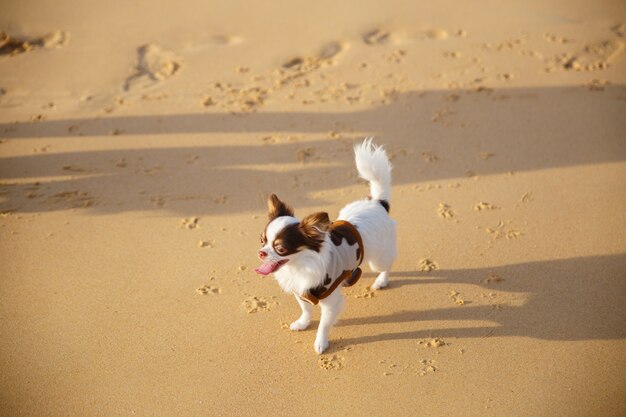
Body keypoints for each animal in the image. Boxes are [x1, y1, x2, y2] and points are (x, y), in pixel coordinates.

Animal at [254, 138, 394, 352]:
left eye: (280, 249)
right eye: (262, 240)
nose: (261, 252)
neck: (299, 266)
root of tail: (378, 203)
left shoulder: (330, 301)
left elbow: (324, 324)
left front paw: (321, 343)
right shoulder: (301, 291)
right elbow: (306, 309)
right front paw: (303, 323)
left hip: (378, 258)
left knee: (386, 266)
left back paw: (381, 281)